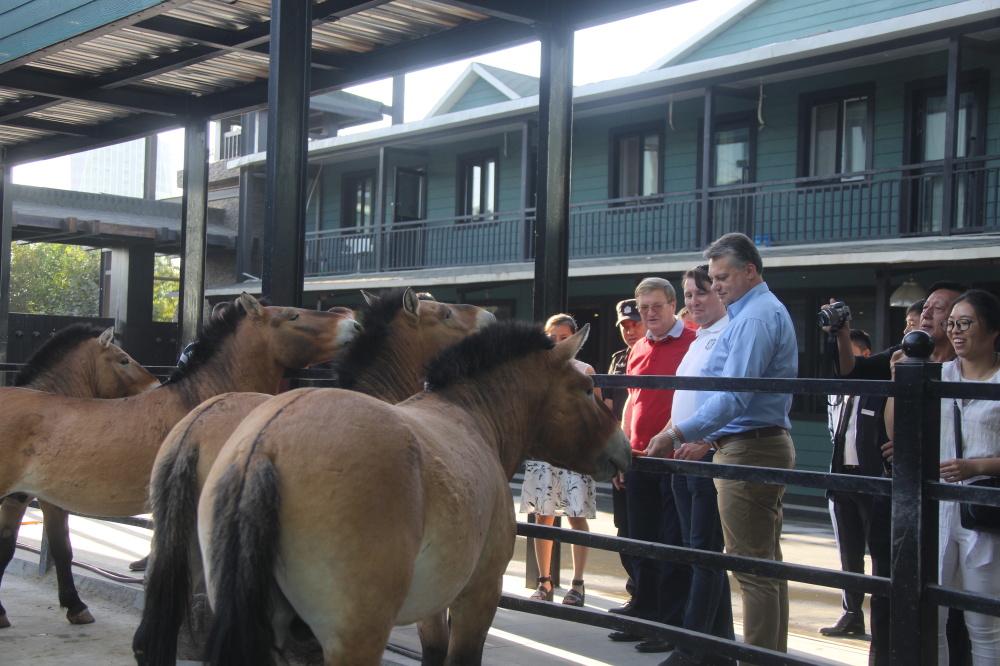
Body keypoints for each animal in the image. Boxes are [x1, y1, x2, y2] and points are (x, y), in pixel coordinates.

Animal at [198, 320, 628, 660]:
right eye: (587, 387)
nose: (625, 449)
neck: (471, 415)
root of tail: (265, 445)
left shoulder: (433, 605)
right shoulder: (478, 596)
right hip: (357, 637)